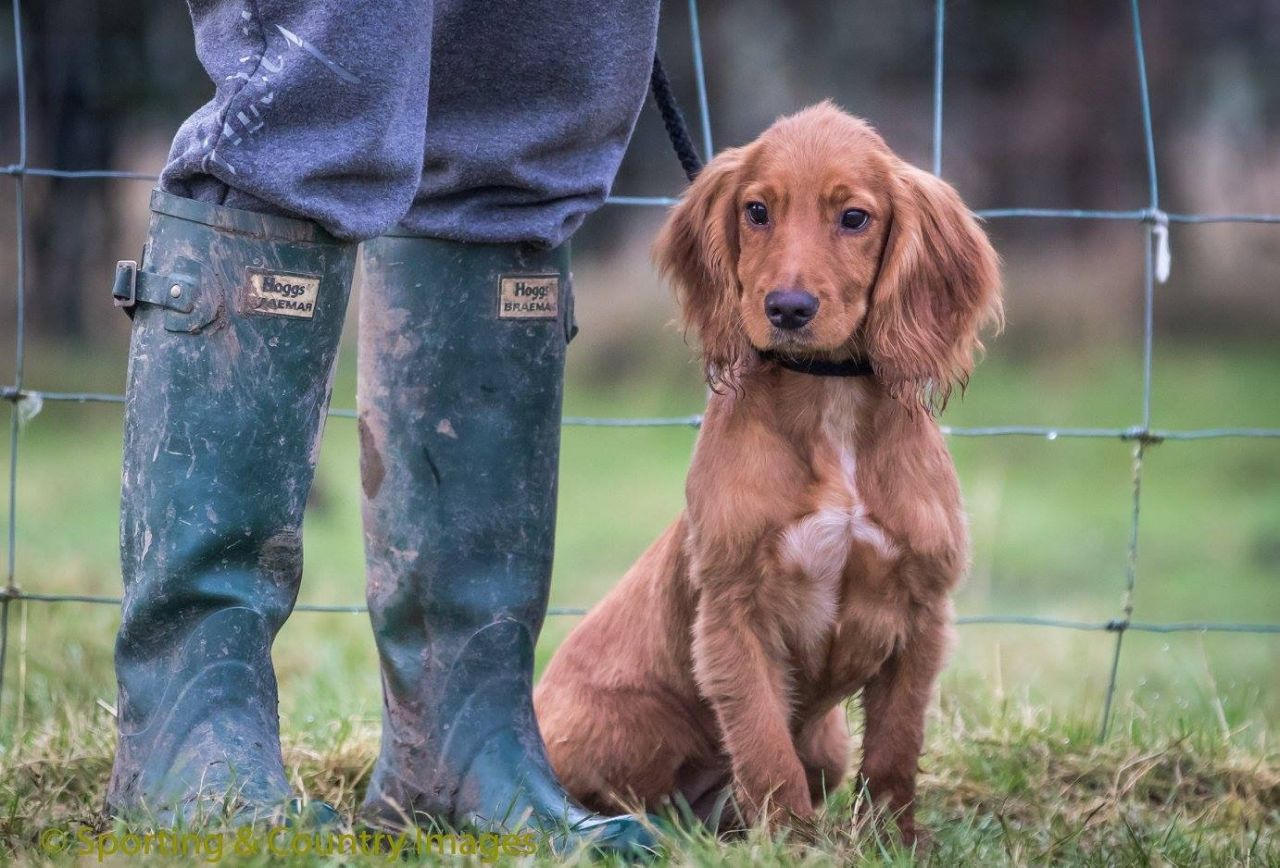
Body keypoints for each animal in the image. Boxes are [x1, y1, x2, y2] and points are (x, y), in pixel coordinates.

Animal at [529, 101, 998, 844]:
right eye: (756, 211)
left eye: (854, 218)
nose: (787, 309)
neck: (829, 400)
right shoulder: (735, 612)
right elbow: (763, 743)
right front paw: (793, 842)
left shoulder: (923, 613)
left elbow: (896, 746)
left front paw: (893, 839)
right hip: (632, 725)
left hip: (827, 744)